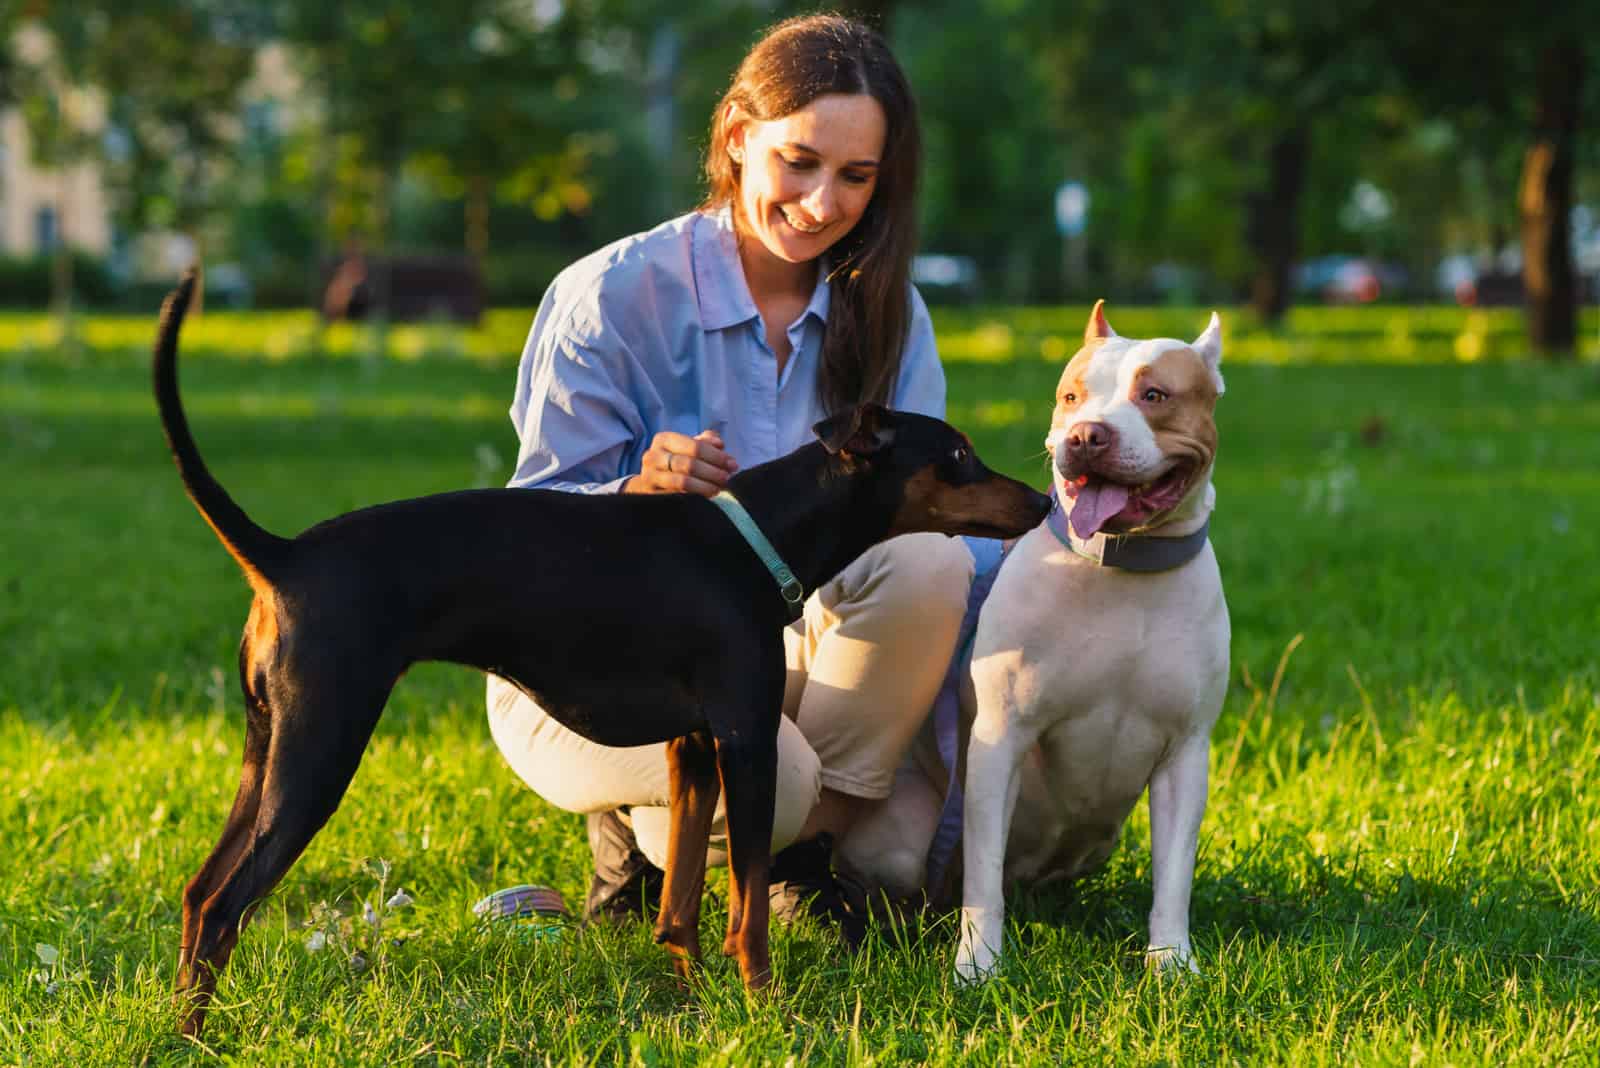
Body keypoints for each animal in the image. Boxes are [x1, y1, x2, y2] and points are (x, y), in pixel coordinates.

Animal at [152, 273, 1049, 1036]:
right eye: (958, 457)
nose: (1044, 498)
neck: (753, 536)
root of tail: (283, 557)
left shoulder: (693, 751)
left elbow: (680, 904)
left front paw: (693, 1001)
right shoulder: (748, 744)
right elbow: (748, 905)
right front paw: (765, 1006)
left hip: (267, 748)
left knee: (198, 894)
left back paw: (184, 1028)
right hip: (320, 750)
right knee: (227, 903)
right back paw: (200, 1038)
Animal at [953, 300, 1228, 984]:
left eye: (1155, 395)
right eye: (1071, 397)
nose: (1085, 436)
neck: (1118, 567)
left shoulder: (1186, 753)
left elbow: (1174, 876)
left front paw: (1171, 964)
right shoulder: (1000, 738)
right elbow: (982, 873)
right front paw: (979, 965)